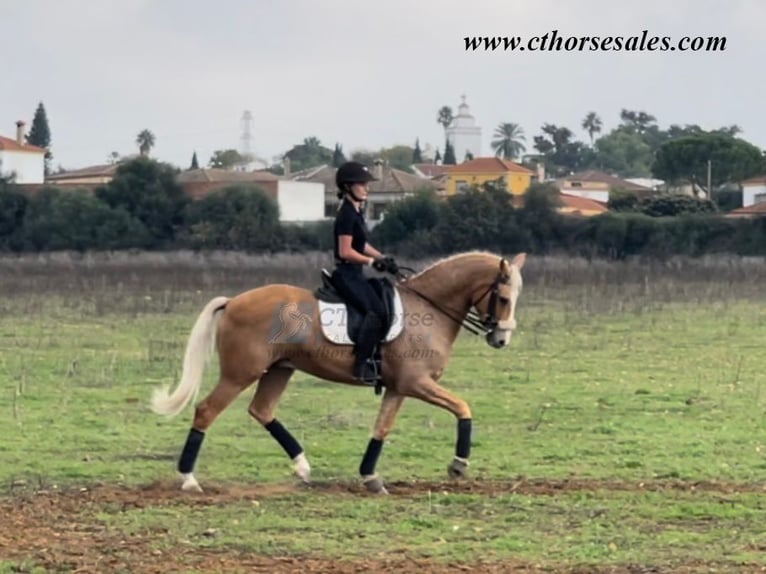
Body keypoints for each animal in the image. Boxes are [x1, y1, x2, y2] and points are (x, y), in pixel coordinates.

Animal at [152, 251, 528, 496]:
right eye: (503, 298)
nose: (502, 339)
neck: (430, 307)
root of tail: (233, 301)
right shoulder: (416, 383)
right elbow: (463, 408)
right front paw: (458, 464)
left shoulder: (398, 388)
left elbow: (381, 428)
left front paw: (370, 477)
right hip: (240, 374)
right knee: (206, 411)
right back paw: (189, 480)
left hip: (278, 370)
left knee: (262, 411)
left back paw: (303, 468)